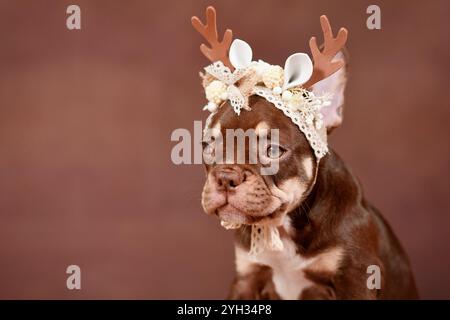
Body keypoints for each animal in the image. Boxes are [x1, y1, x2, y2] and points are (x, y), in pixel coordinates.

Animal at [200, 53, 418, 298]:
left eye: (273, 151)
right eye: (207, 147)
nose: (225, 177)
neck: (283, 228)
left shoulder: (356, 279)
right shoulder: (247, 278)